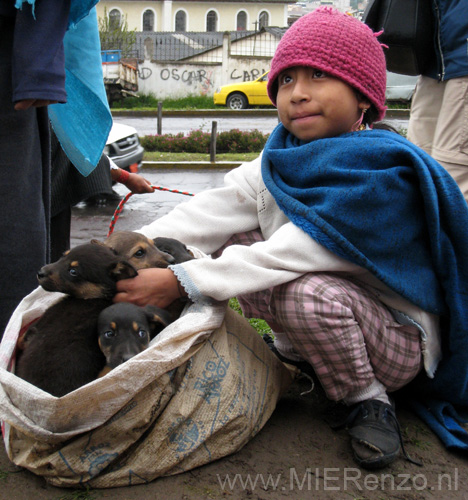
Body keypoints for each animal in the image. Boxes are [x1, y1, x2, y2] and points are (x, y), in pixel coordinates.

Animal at [15, 240, 139, 396]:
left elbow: (21, 339)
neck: (94, 297)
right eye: (63, 255)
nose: (40, 272)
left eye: (73, 272)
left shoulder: (41, 322)